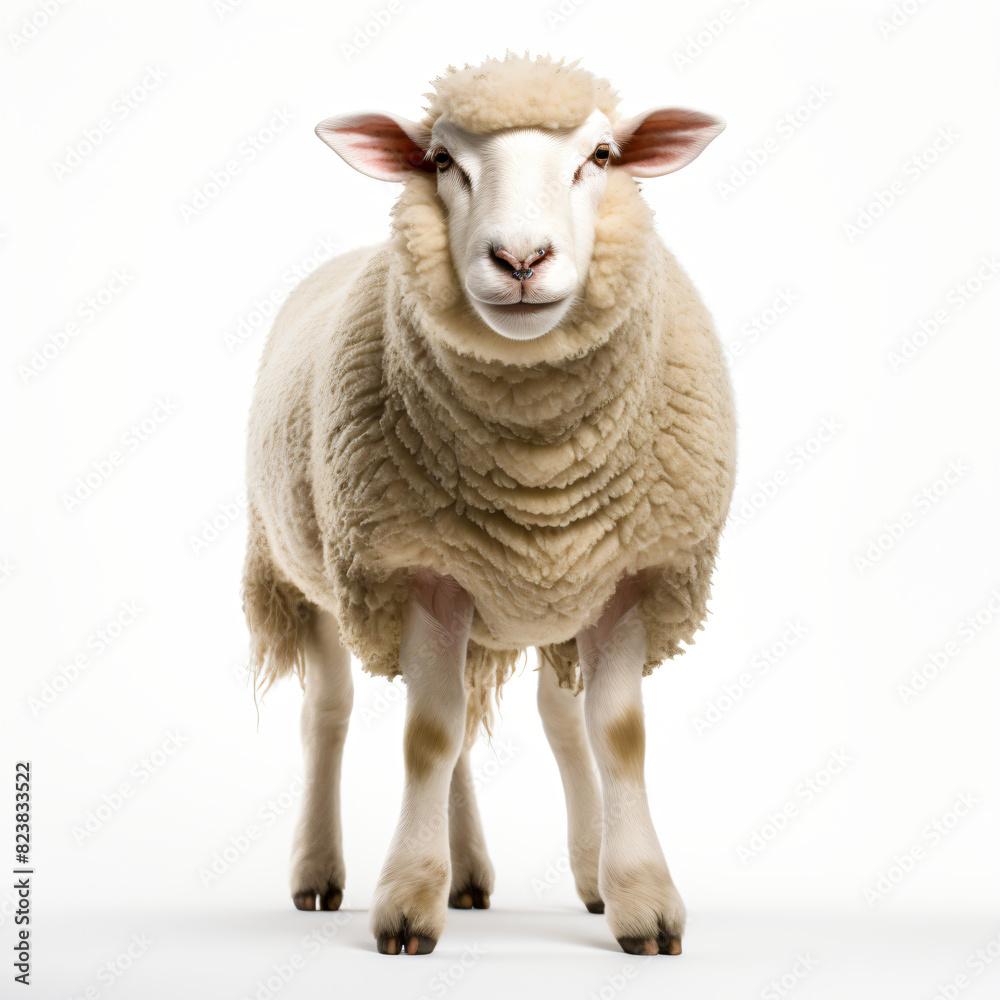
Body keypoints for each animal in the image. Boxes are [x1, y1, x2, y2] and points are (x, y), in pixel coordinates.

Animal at [243, 52, 736, 957]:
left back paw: (490, 871)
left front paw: (640, 900)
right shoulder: (418, 570)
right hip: (308, 570)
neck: (539, 464)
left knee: (515, 716)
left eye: (602, 157)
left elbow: (613, 733)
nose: (520, 258)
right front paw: (407, 903)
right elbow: (426, 736)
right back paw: (321, 872)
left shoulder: (624, 574)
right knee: (331, 713)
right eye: (441, 161)